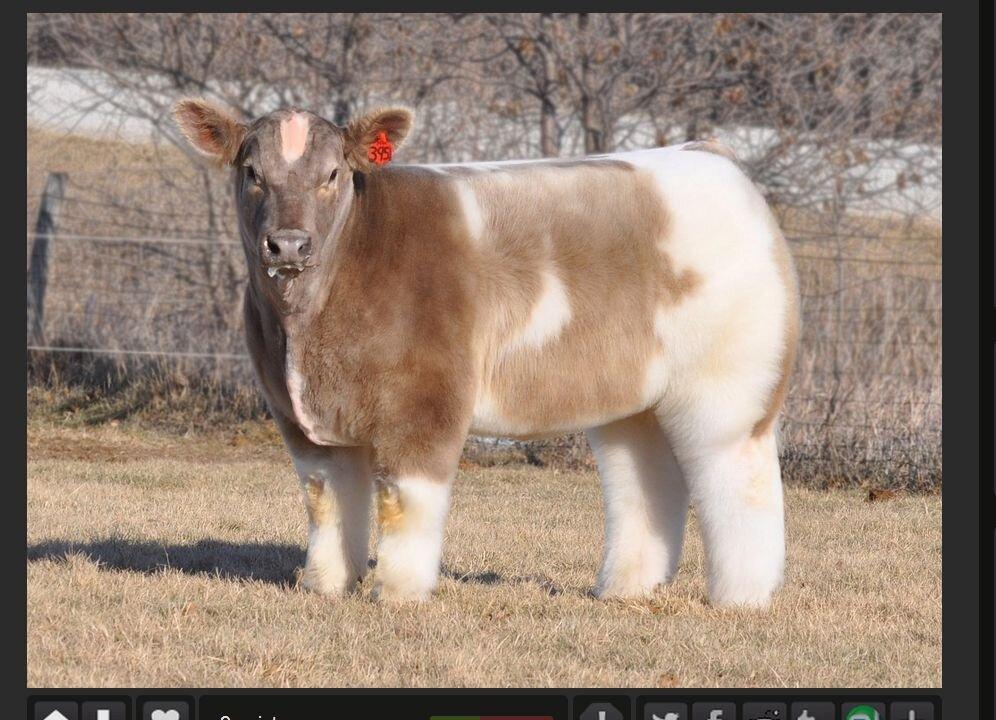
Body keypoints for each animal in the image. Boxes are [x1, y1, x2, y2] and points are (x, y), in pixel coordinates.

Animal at [173, 99, 799, 607]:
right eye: (252, 173)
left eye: (332, 174)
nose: (288, 244)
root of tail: (712, 155)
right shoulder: (299, 417)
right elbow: (327, 503)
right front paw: (325, 586)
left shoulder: (426, 401)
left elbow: (405, 502)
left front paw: (397, 594)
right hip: (634, 398)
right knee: (644, 479)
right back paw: (626, 589)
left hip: (729, 388)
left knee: (737, 480)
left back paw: (741, 597)